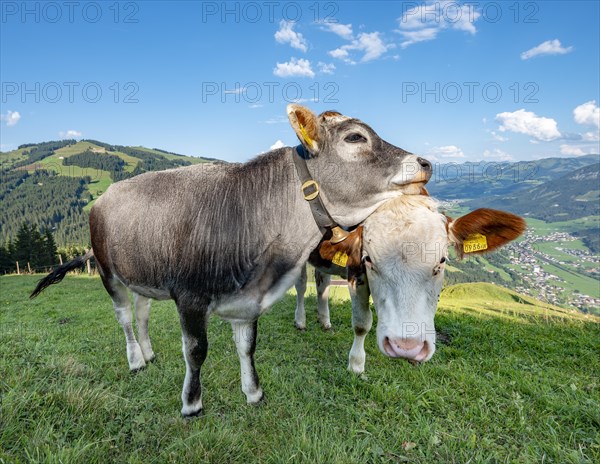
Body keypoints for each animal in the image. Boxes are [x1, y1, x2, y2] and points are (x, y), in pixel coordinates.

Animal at [296, 195, 524, 374]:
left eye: (441, 261)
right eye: (368, 260)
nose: (406, 347)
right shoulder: (355, 272)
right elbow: (361, 323)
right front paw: (356, 366)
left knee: (322, 283)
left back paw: (324, 321)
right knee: (301, 286)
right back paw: (300, 321)